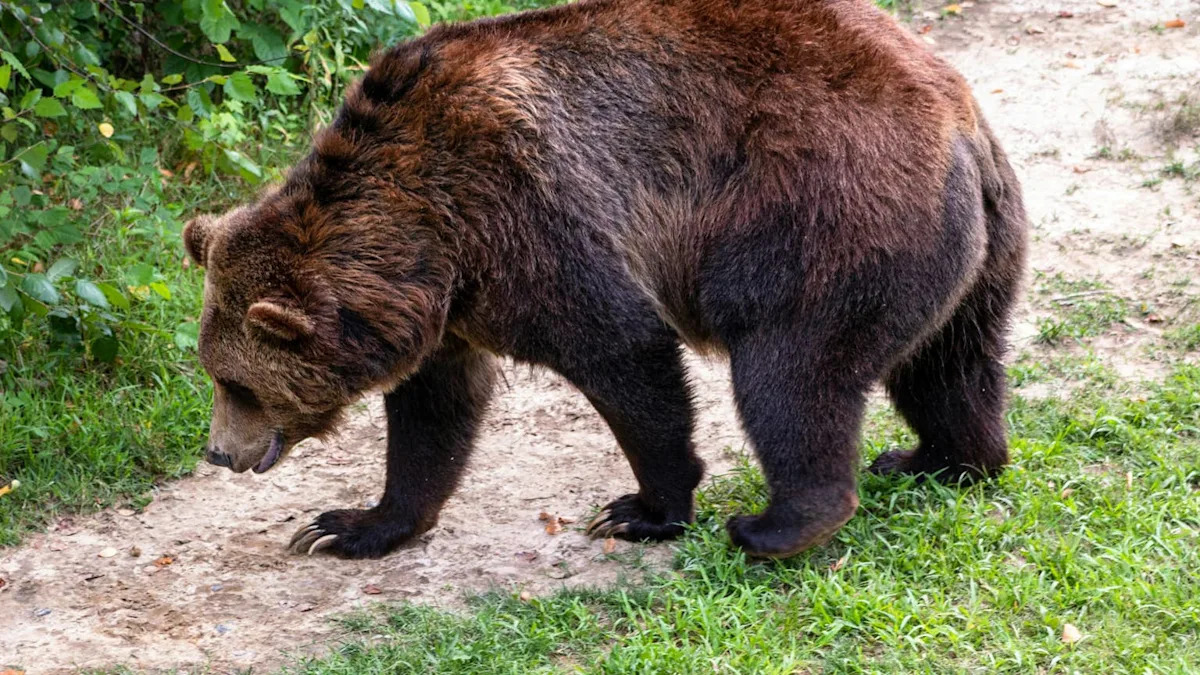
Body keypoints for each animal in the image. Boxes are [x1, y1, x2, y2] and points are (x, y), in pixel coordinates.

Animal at [184, 0, 1027, 559]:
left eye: (238, 382)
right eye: (217, 374)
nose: (220, 453)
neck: (422, 237)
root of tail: (959, 121)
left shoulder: (527, 215)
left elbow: (624, 352)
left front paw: (643, 507)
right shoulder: (447, 307)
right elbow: (434, 414)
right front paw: (348, 523)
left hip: (823, 215)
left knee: (792, 372)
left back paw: (776, 524)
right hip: (972, 251)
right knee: (950, 365)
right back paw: (937, 458)